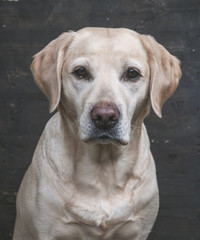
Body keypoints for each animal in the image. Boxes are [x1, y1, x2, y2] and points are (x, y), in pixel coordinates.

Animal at [12, 27, 181, 239]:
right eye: (80, 72)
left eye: (132, 73)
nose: (105, 116)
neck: (103, 172)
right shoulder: (47, 230)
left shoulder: (138, 231)